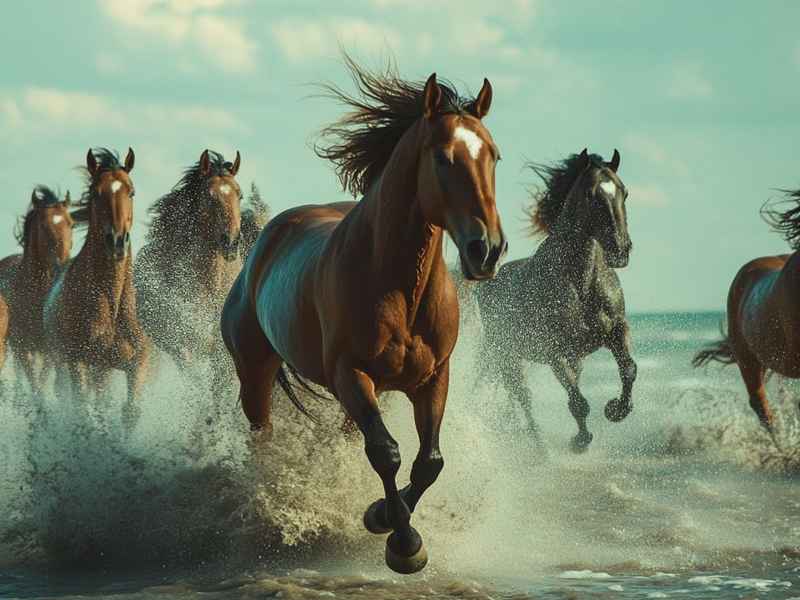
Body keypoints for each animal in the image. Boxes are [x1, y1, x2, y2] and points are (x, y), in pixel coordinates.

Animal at [0, 186, 73, 399]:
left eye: (71, 224)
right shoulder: (23, 347)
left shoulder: (50, 350)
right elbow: (35, 384)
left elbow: (43, 380)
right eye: (43, 226)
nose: (64, 263)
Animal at [44, 148, 149, 432]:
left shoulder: (136, 363)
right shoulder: (79, 361)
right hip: (66, 362)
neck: (111, 302)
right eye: (96, 193)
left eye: (132, 191)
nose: (117, 241)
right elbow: (82, 411)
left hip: (103, 369)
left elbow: (130, 411)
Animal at [134, 150, 266, 393]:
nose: (231, 243)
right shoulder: (183, 345)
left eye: (240, 195)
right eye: (210, 196)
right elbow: (198, 381)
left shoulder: (223, 354)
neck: (210, 286)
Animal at [220, 58, 505, 574]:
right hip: (256, 373)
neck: (399, 288)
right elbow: (387, 453)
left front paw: (382, 516)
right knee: (262, 437)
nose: (487, 250)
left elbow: (428, 462)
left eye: (493, 155)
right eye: (442, 158)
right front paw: (403, 542)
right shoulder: (350, 373)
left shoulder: (433, 378)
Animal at [473, 149, 635, 453]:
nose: (620, 250)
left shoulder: (616, 332)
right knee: (523, 397)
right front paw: (580, 442)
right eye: (591, 195)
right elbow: (578, 402)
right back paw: (539, 448)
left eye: (625, 192)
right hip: (507, 357)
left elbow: (629, 369)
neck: (581, 284)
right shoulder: (555, 352)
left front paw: (616, 410)